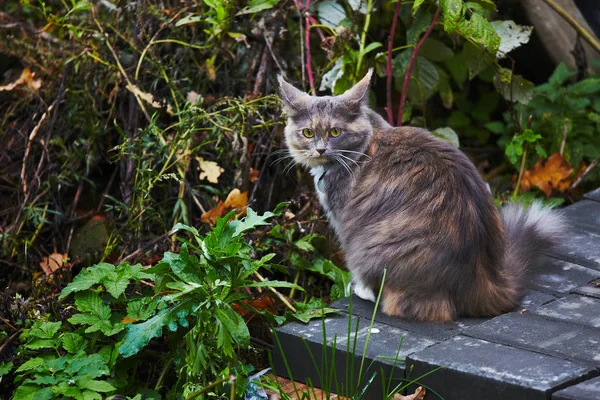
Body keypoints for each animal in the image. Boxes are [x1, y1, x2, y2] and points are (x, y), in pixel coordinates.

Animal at [278, 70, 564, 324]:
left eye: (335, 132)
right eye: (308, 133)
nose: (320, 149)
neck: (365, 145)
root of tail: (483, 279)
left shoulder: (343, 223)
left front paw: (358, 287)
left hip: (367, 248)